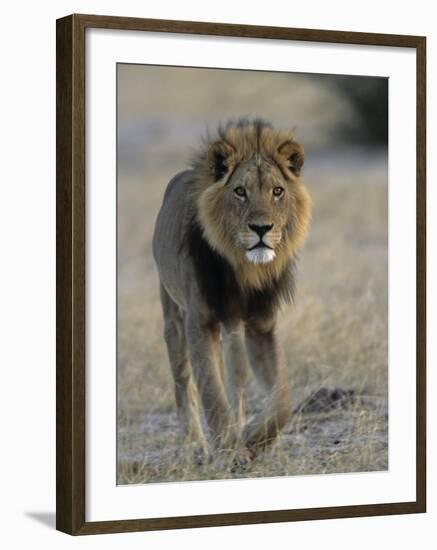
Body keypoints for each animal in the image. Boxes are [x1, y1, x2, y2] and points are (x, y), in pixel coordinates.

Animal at [152, 119, 310, 466]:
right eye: (240, 191)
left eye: (277, 191)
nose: (261, 229)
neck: (244, 270)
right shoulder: (200, 321)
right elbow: (211, 391)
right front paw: (228, 449)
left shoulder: (261, 325)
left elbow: (283, 399)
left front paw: (253, 438)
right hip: (173, 314)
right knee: (184, 379)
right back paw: (194, 445)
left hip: (234, 328)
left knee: (236, 379)